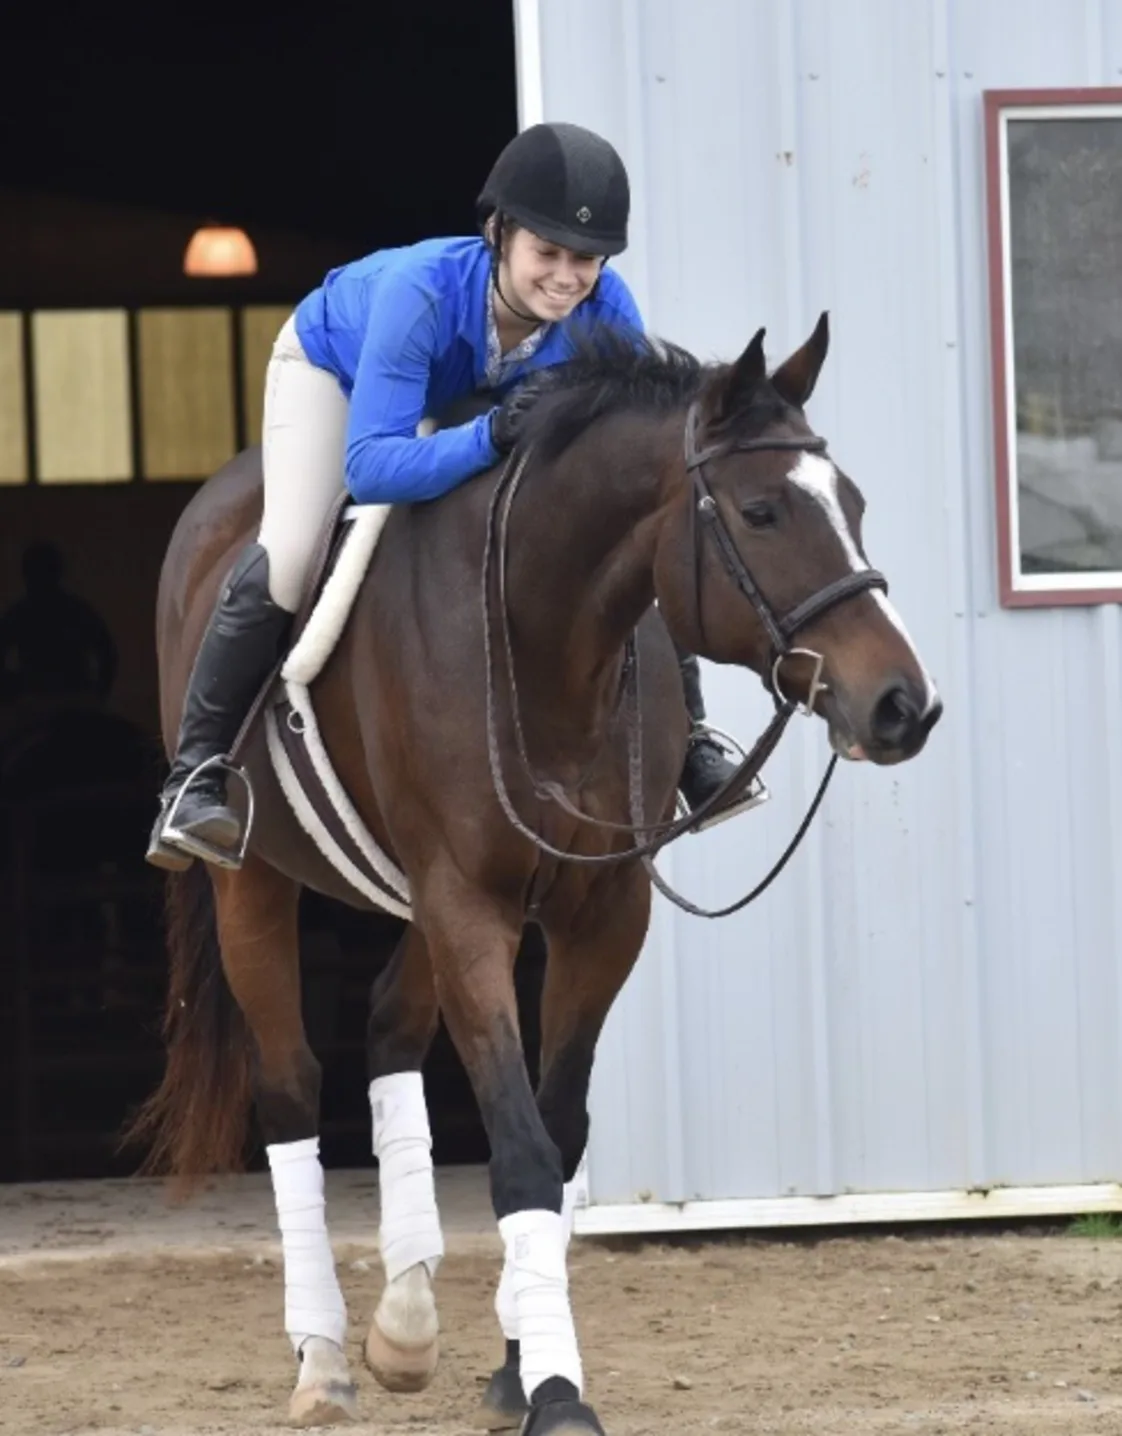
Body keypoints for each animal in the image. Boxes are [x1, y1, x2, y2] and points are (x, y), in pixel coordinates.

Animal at [128, 315, 942, 1435]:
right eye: (762, 511)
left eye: (853, 503)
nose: (906, 704)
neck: (544, 635)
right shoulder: (467, 904)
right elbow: (518, 1146)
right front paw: (557, 1390)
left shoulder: (602, 911)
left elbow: (558, 1135)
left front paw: (520, 1363)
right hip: (256, 883)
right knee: (290, 1085)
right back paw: (324, 1357)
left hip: (419, 904)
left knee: (390, 1030)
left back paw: (407, 1317)